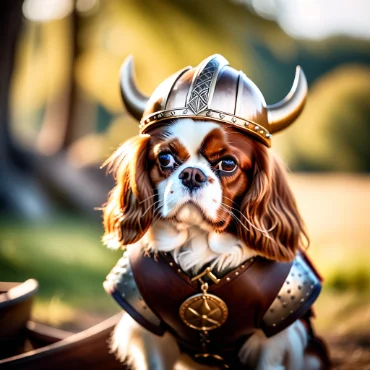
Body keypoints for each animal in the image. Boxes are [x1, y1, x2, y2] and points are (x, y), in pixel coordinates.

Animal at [101, 53, 330, 368]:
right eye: (165, 158)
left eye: (228, 164)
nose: (192, 175)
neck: (201, 247)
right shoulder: (149, 330)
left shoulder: (274, 337)